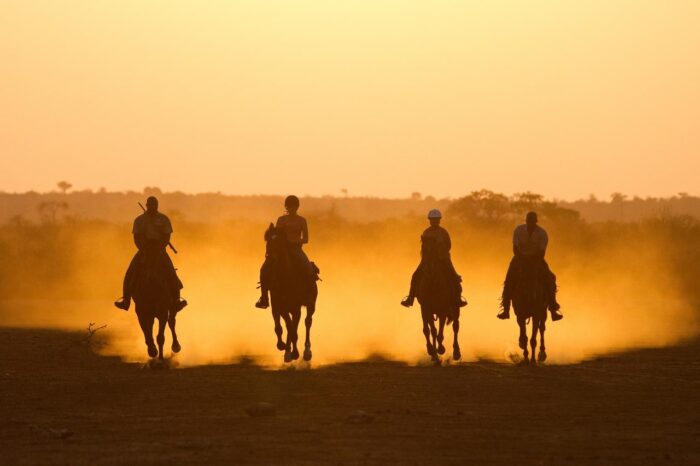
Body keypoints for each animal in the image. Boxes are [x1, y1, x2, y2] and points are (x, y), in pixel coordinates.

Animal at [262, 224, 318, 362]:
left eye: (279, 242)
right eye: (268, 241)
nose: (271, 259)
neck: (285, 277)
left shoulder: (295, 308)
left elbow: (293, 330)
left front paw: (295, 353)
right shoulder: (279, 306)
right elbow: (282, 327)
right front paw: (283, 347)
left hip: (311, 304)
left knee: (307, 322)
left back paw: (306, 352)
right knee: (290, 325)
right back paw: (288, 352)